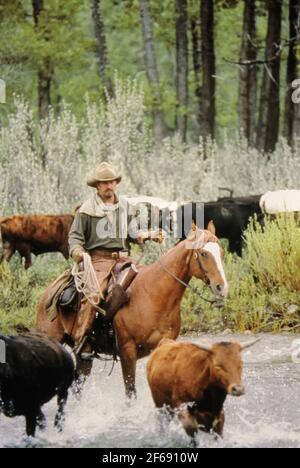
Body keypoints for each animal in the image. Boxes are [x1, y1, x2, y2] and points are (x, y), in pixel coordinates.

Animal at [35, 225, 227, 396]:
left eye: (221, 252)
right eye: (204, 253)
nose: (222, 287)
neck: (153, 294)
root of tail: (47, 294)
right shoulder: (127, 350)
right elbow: (130, 392)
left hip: (83, 358)